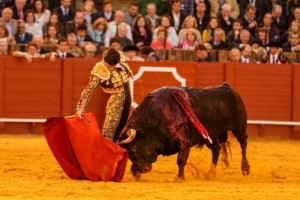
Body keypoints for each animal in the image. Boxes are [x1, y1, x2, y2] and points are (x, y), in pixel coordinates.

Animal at [117, 83, 251, 180]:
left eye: (135, 148)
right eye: (129, 153)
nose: (144, 169)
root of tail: (228, 87)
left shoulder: (184, 142)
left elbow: (181, 160)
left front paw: (179, 177)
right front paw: (135, 173)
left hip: (239, 127)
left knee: (243, 144)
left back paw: (245, 168)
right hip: (209, 135)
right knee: (216, 149)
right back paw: (210, 173)